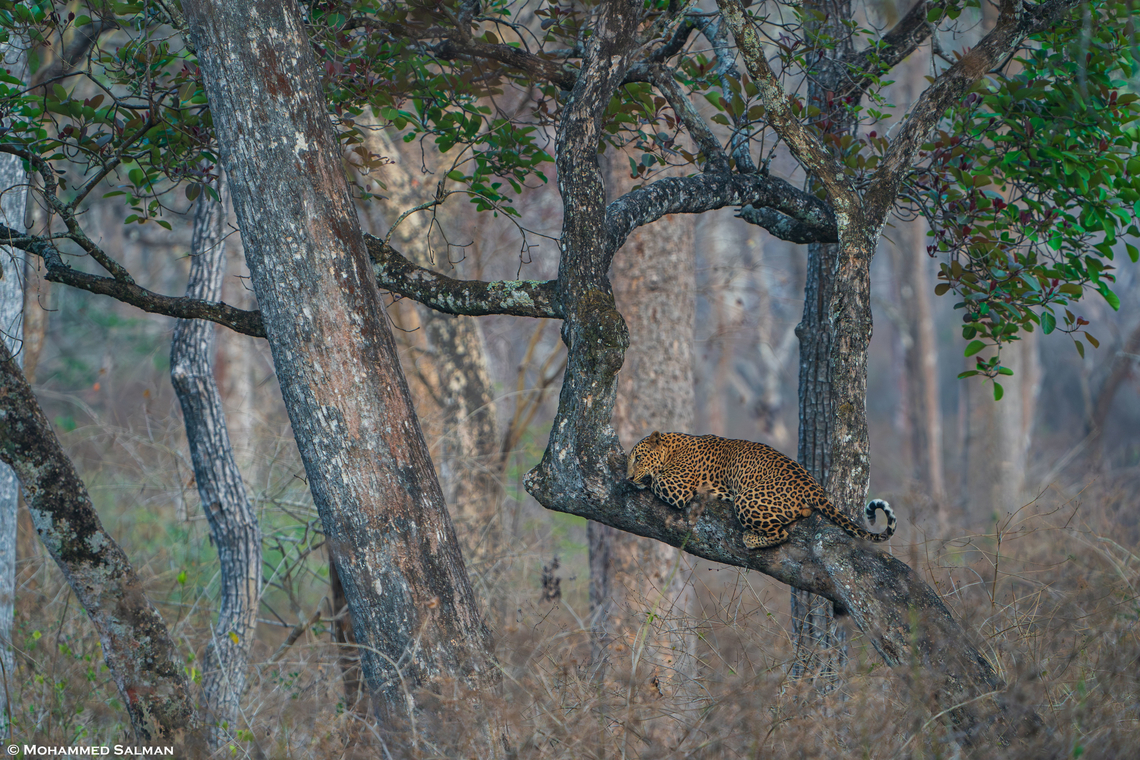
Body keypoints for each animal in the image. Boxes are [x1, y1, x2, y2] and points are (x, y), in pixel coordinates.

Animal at [626, 431, 896, 549]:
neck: (673, 447)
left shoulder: (677, 488)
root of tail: (813, 488)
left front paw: (641, 479)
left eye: (638, 458)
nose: (628, 477)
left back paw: (751, 539)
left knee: (781, 534)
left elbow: (656, 479)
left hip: (746, 499)